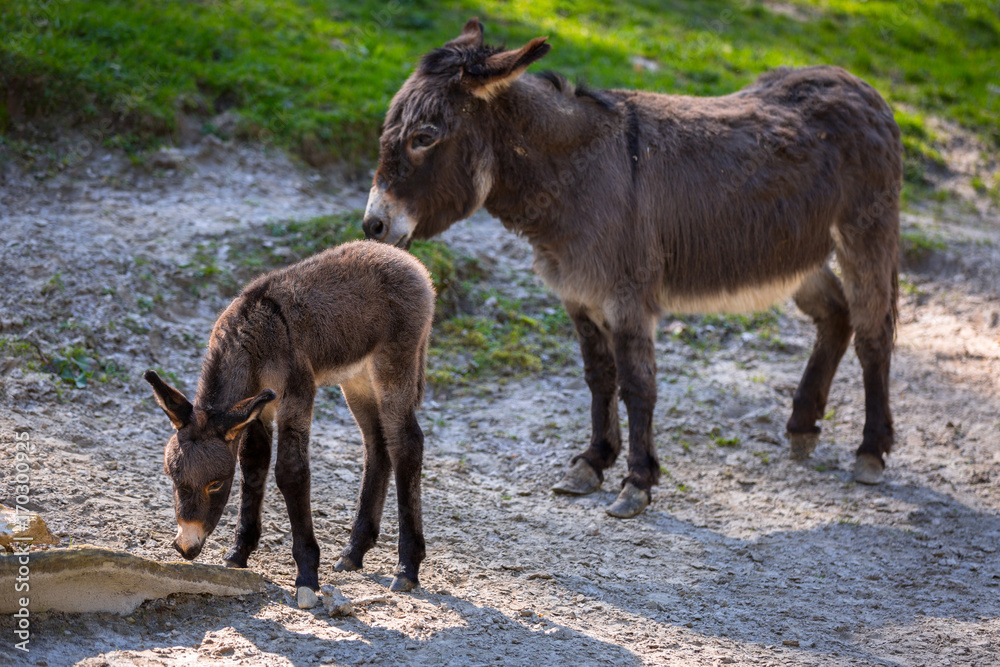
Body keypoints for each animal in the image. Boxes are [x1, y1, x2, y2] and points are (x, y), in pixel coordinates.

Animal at [145, 241, 434, 604]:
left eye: (215, 484)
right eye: (172, 478)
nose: (186, 548)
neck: (254, 335)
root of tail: (403, 257)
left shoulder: (296, 396)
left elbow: (291, 473)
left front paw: (307, 574)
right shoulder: (258, 408)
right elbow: (253, 466)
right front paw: (239, 552)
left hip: (394, 364)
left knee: (405, 444)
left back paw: (407, 567)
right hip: (356, 378)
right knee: (377, 446)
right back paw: (354, 551)